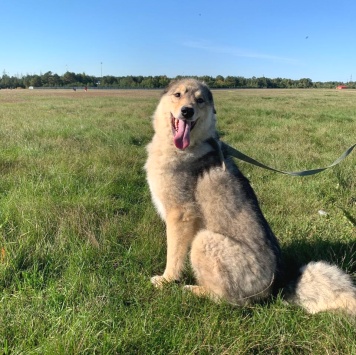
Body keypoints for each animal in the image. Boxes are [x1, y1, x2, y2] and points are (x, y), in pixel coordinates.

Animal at [144, 78, 356, 314]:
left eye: (200, 100)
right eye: (178, 95)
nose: (187, 111)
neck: (185, 146)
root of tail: (278, 285)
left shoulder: (180, 215)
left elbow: (173, 255)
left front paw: (166, 280)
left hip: (204, 240)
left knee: (227, 300)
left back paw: (194, 290)